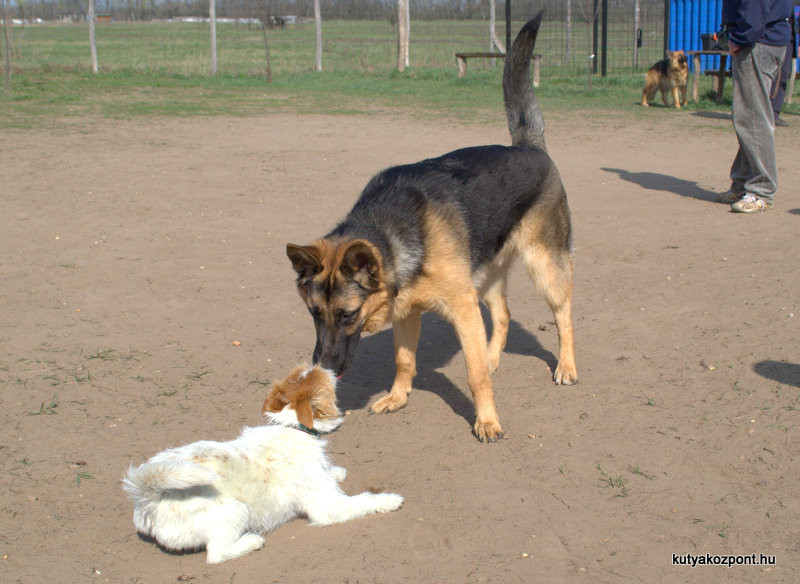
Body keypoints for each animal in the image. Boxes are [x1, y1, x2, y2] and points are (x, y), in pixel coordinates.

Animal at [123, 368, 406, 564]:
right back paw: (251, 542)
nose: (327, 365)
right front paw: (389, 499)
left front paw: (335, 471)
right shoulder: (329, 507)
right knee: (216, 555)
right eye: (320, 377)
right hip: (235, 512)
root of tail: (147, 497)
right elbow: (364, 500)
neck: (292, 427)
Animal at [288, 12, 576, 442]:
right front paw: (397, 397)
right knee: (503, 315)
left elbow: (474, 375)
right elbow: (404, 360)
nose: (323, 367)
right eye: (313, 314)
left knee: (564, 313)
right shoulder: (408, 313)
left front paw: (486, 420)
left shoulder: (462, 309)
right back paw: (494, 356)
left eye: (347, 315)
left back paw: (567, 367)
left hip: (544, 269)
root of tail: (529, 145)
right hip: (486, 278)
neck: (395, 232)